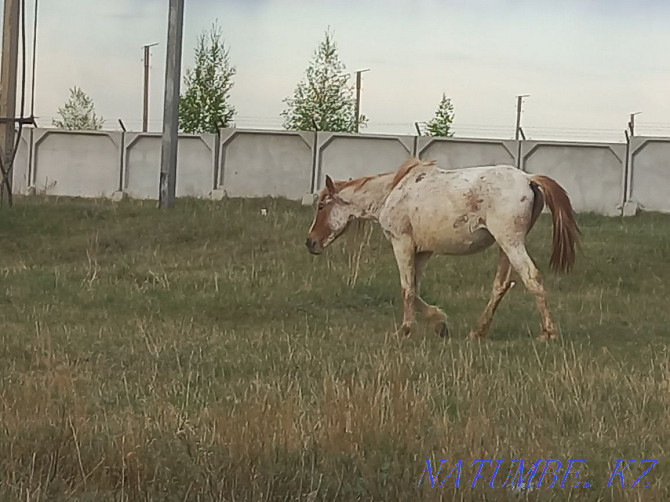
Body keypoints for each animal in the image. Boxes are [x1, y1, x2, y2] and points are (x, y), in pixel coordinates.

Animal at [308, 159, 580, 340]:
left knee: (531, 278)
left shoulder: (402, 243)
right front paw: (439, 323)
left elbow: (407, 288)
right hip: (506, 245)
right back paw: (477, 332)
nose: (310, 242)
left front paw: (405, 330)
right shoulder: (423, 251)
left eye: (322, 206)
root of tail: (528, 179)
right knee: (501, 285)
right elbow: (415, 288)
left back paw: (548, 333)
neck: (391, 193)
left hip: (510, 242)